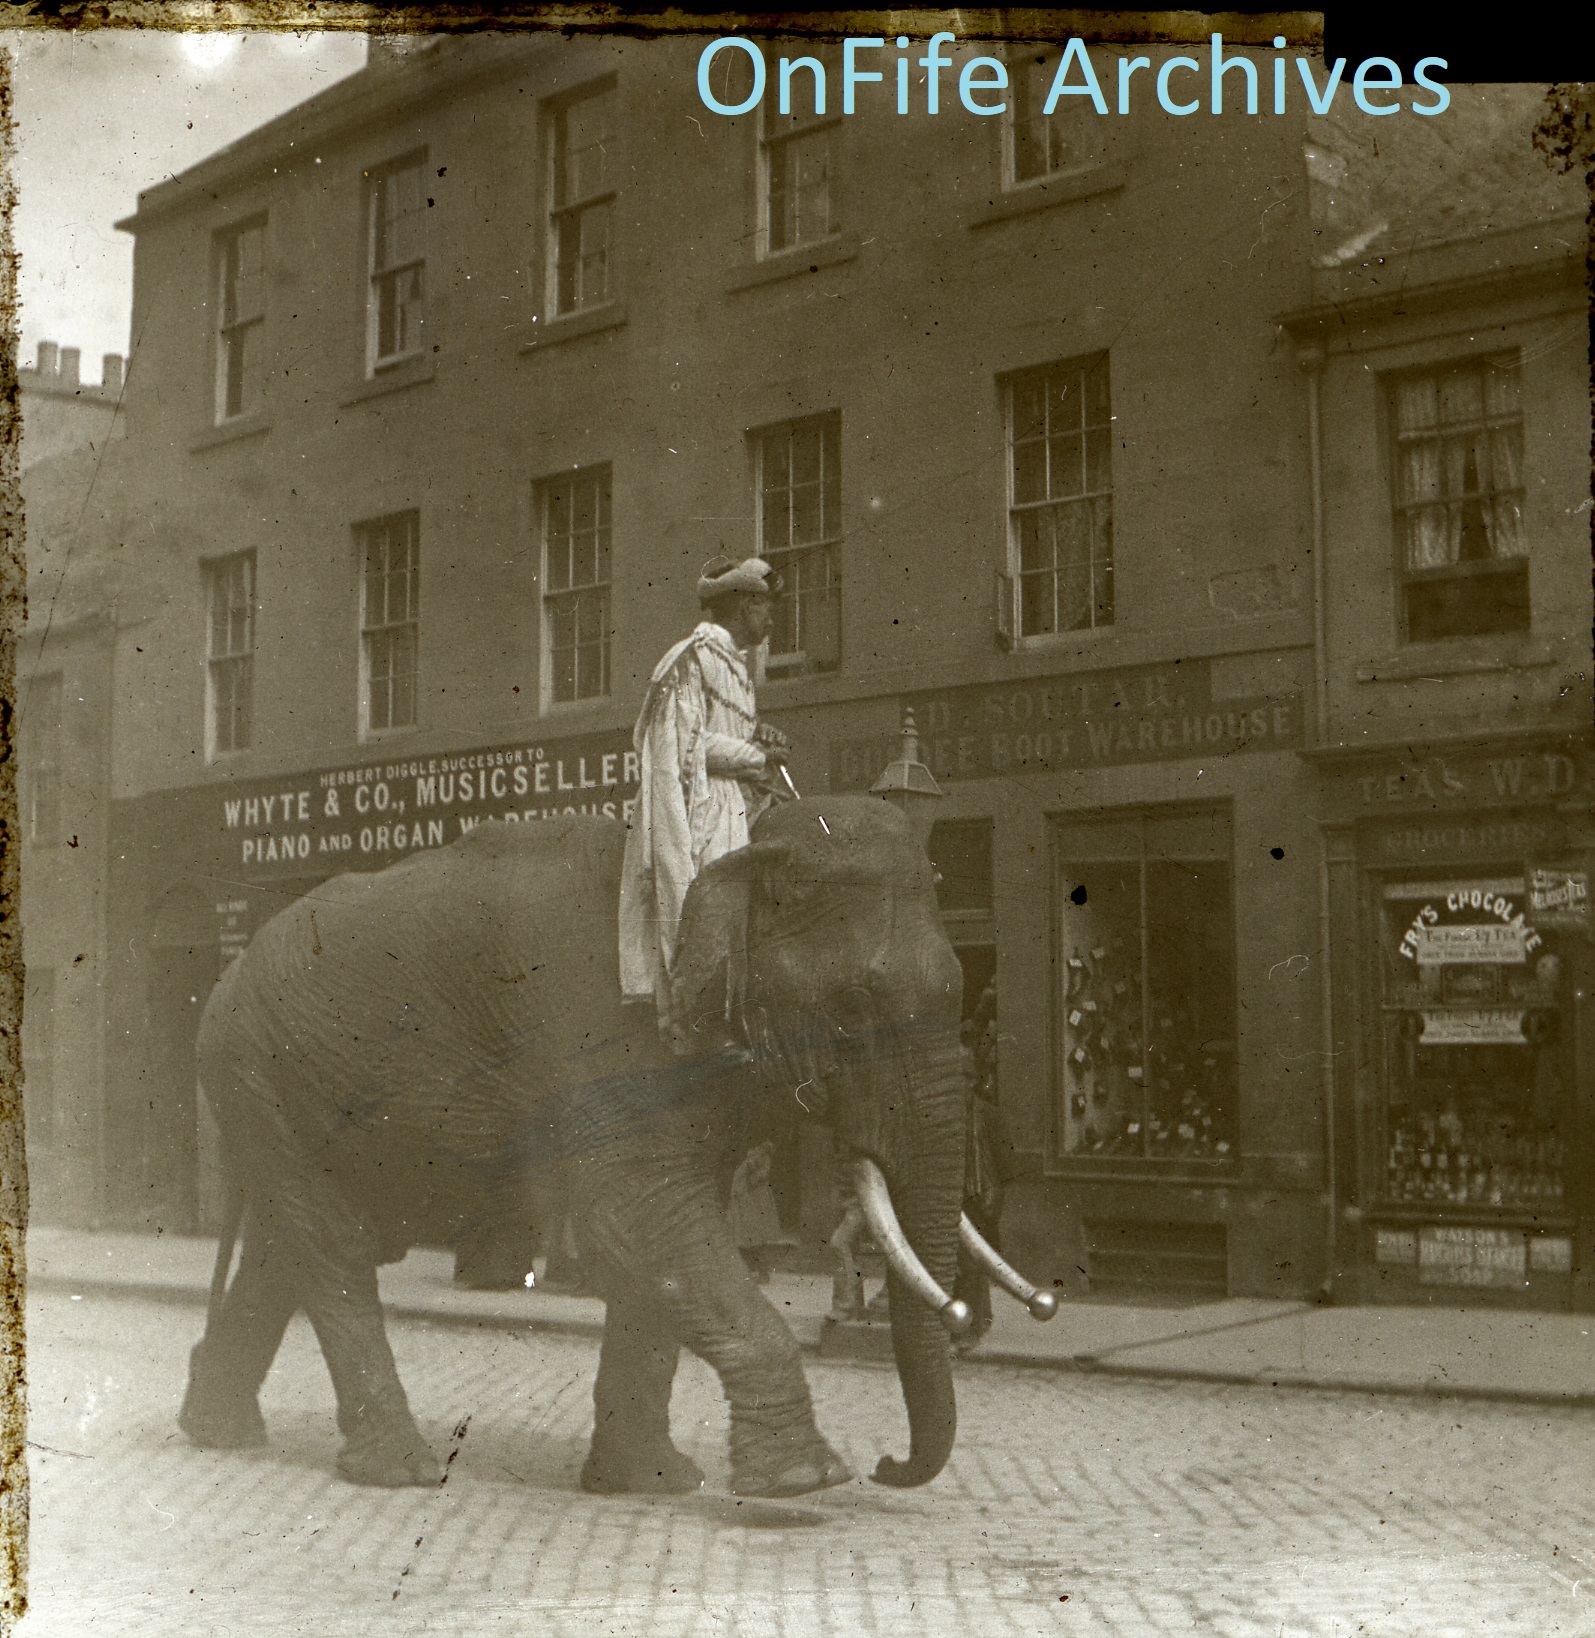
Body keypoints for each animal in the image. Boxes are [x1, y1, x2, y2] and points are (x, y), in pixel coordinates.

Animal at [171, 792, 1008, 1500]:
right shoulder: (600, 1032)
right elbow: (636, 1222)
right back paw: (398, 1471)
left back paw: (218, 1431)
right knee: (333, 1245)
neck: (738, 843)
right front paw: (803, 1484)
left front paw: (653, 1484)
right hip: (256, 1073)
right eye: (854, 1006)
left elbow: (658, 1240)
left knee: (288, 1249)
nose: (888, 1464)